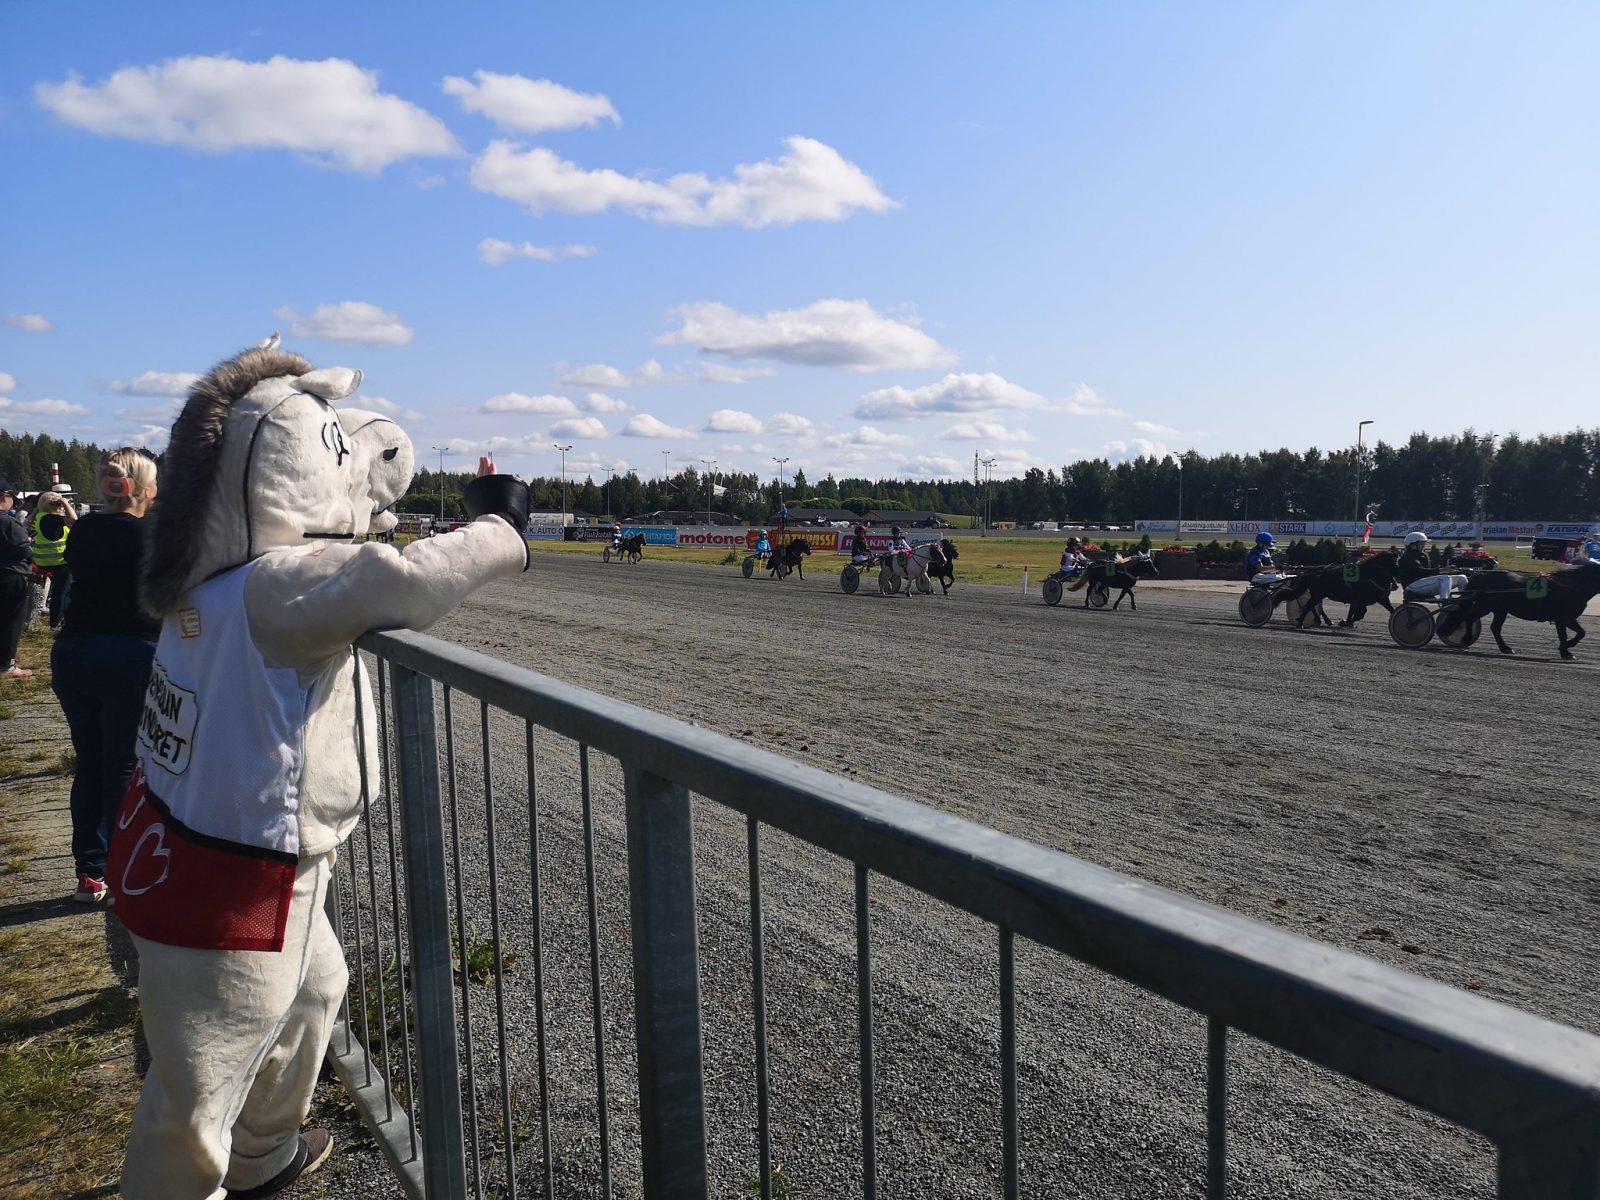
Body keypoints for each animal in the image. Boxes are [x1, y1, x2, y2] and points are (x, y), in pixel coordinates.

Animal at [1440, 566, 1600, 668]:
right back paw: (1466, 638)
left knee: (1494, 627)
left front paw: (1566, 650)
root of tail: (1481, 575)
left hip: (1500, 610)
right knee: (1468, 617)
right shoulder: (1562, 617)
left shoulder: (1567, 618)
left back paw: (1505, 648)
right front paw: (1566, 650)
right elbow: (1567, 635)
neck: (1570, 586)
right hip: (1484, 606)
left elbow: (1580, 633)